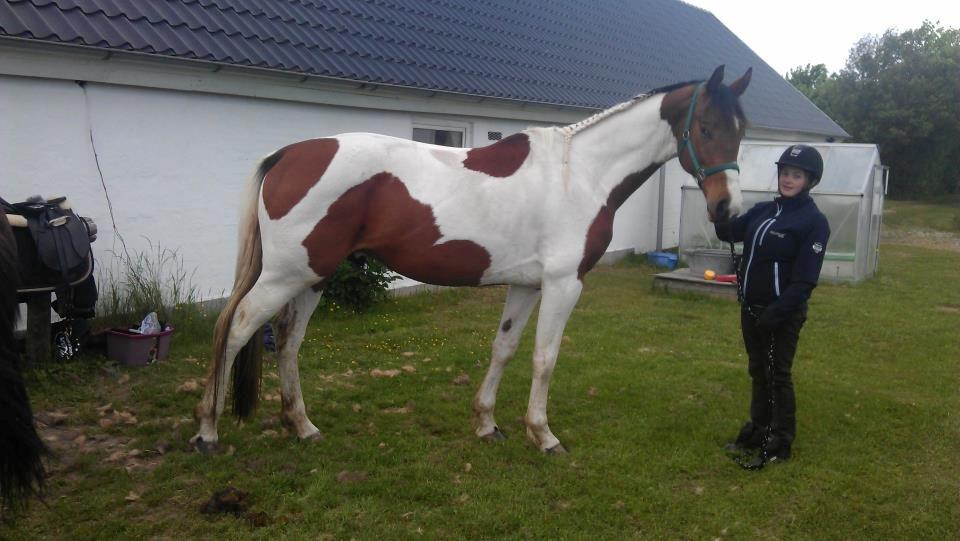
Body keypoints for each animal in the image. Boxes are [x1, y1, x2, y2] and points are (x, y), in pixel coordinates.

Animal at [193, 63, 752, 454]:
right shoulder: (564, 284)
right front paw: (543, 435)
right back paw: (208, 431)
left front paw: (487, 423)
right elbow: (545, 358)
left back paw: (302, 426)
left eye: (741, 131)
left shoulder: (527, 284)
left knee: (288, 342)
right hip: (286, 275)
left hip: (314, 275)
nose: (728, 210)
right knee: (235, 327)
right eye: (705, 127)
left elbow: (503, 349)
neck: (580, 172)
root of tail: (288, 154)